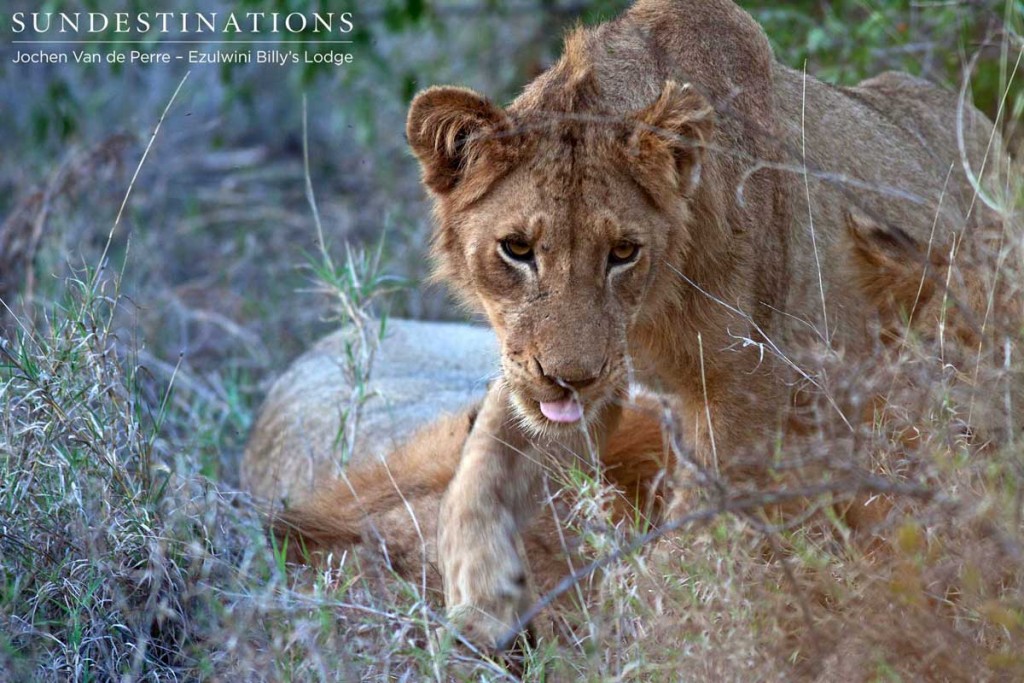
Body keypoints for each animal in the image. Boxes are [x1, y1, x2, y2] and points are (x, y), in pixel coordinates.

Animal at [245, 0, 1007, 651]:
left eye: (623, 252)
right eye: (516, 249)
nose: (569, 377)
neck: (653, 308)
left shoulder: (747, 386)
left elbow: (700, 534)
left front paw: (667, 626)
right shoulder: (560, 375)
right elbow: (484, 464)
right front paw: (481, 599)